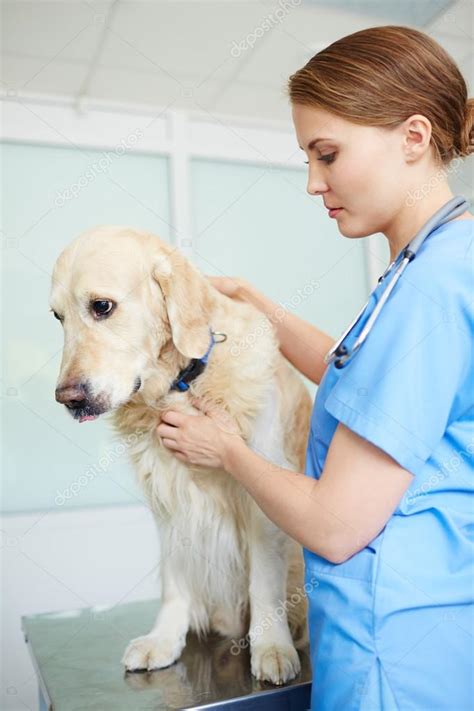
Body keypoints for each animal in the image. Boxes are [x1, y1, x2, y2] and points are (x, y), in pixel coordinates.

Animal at [50, 227, 312, 684]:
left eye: (102, 306)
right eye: (57, 317)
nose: (68, 399)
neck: (181, 385)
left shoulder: (261, 497)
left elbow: (264, 582)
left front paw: (271, 647)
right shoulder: (168, 498)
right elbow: (174, 578)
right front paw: (164, 639)